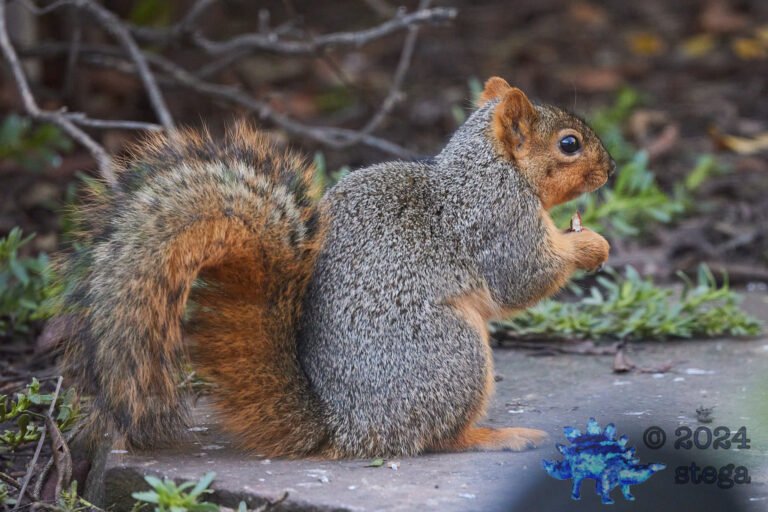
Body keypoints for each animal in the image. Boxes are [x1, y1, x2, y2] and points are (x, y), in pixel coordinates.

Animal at [60, 77, 614, 459]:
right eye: (569, 144)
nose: (610, 170)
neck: (490, 169)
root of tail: (346, 427)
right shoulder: (497, 221)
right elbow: (523, 276)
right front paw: (591, 244)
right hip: (452, 353)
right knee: (436, 438)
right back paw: (497, 436)